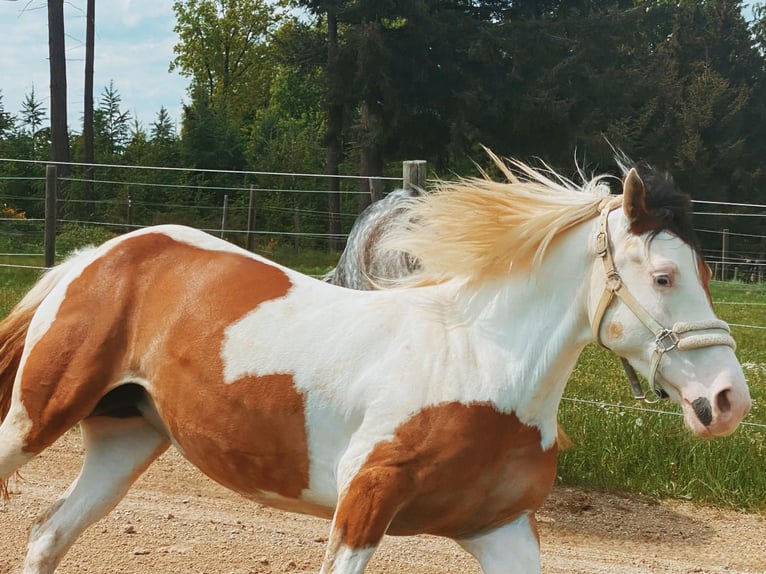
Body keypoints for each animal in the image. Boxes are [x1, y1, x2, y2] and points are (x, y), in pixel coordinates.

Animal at [0, 154, 752, 574]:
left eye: (708, 273)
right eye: (662, 276)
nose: (728, 401)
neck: (480, 361)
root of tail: (96, 256)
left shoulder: (502, 529)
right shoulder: (364, 505)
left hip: (127, 439)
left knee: (46, 536)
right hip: (35, 417)